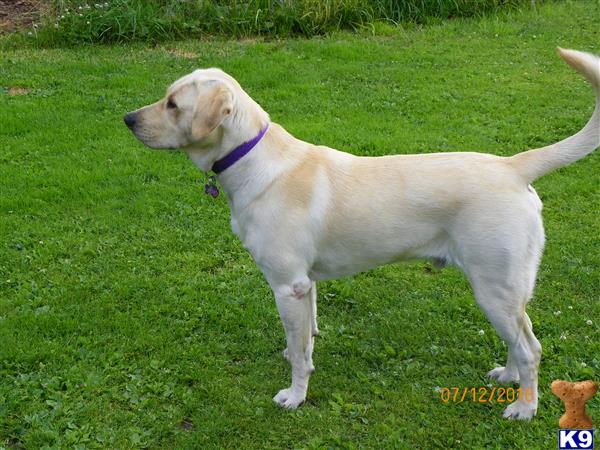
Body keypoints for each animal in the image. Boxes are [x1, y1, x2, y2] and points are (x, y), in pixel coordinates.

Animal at [124, 48, 596, 418]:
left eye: (172, 104)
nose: (127, 119)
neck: (251, 158)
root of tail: (512, 166)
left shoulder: (287, 285)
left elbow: (300, 356)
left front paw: (295, 396)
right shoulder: (305, 284)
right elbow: (305, 339)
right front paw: (298, 354)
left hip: (493, 287)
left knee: (531, 348)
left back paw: (524, 407)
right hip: (506, 289)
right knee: (521, 338)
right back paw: (509, 377)